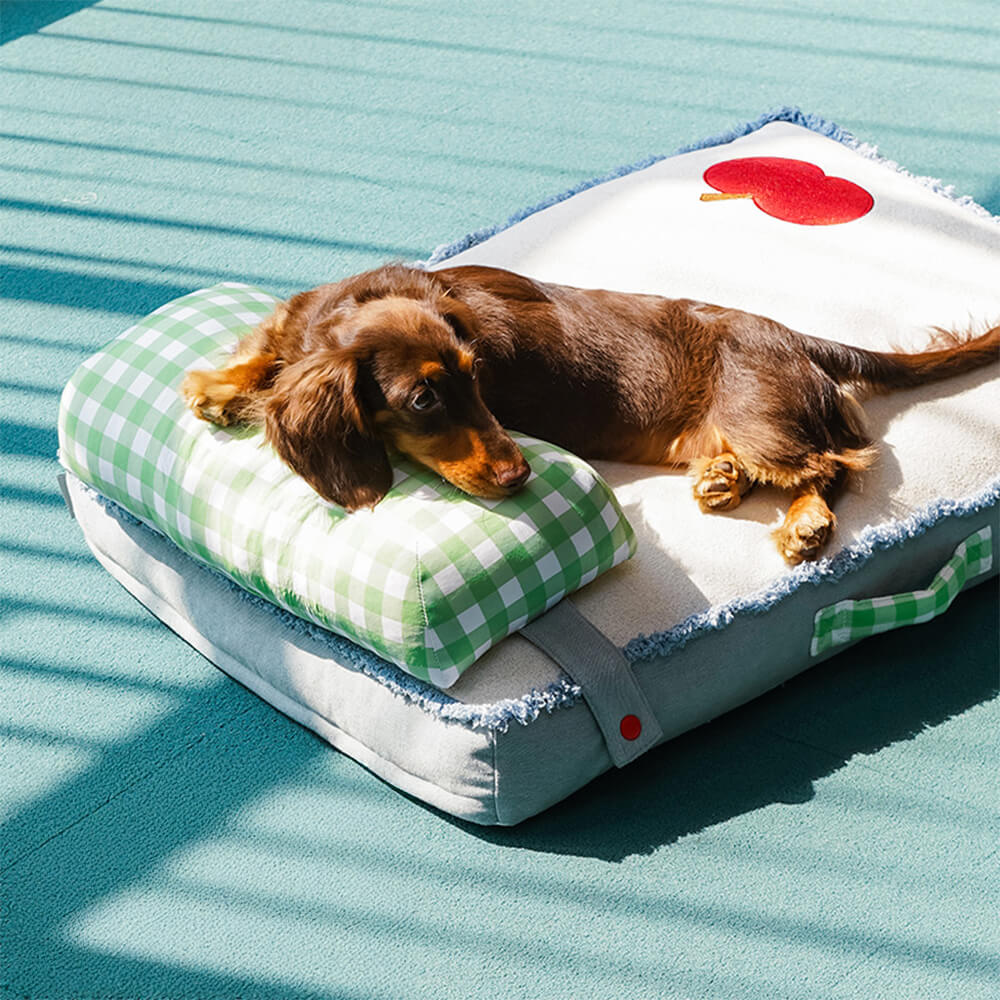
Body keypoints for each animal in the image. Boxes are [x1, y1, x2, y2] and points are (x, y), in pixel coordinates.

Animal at [182, 264, 1000, 564]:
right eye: (424, 399)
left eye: (480, 379)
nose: (518, 476)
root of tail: (798, 338)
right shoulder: (296, 324)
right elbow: (266, 354)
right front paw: (222, 384)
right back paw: (723, 480)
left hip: (760, 417)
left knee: (834, 463)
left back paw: (805, 522)